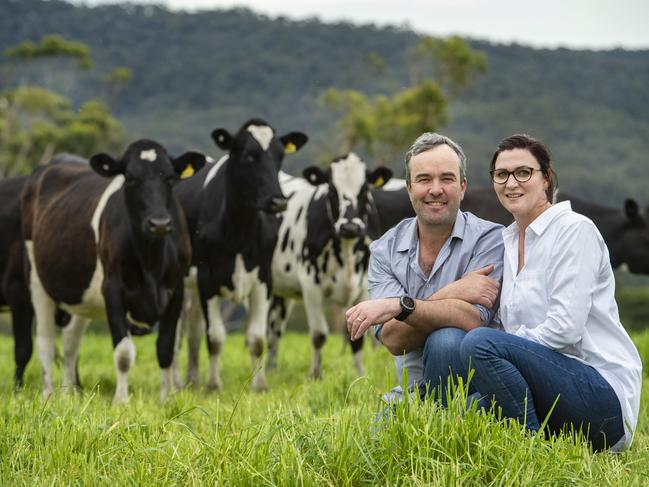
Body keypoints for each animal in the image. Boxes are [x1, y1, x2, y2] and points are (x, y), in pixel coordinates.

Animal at [22, 141, 205, 404]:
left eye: (170, 178)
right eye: (130, 179)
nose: (159, 223)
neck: (151, 261)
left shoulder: (175, 292)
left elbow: (166, 349)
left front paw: (166, 398)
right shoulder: (113, 290)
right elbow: (124, 353)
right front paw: (121, 401)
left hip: (82, 296)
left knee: (70, 343)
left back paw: (69, 393)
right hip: (37, 282)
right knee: (45, 342)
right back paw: (48, 394)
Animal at [173, 118, 308, 392]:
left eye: (280, 156)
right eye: (249, 156)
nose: (278, 202)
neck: (239, 231)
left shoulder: (264, 279)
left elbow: (257, 338)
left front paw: (260, 385)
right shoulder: (206, 279)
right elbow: (215, 337)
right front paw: (213, 385)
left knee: (193, 330)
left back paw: (193, 378)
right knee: (180, 334)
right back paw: (179, 382)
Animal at [268, 154, 392, 380]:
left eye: (364, 189)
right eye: (332, 189)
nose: (350, 226)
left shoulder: (364, 287)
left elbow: (357, 338)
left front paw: (360, 376)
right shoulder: (311, 285)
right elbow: (319, 335)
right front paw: (315, 375)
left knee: (275, 329)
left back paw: (271, 369)